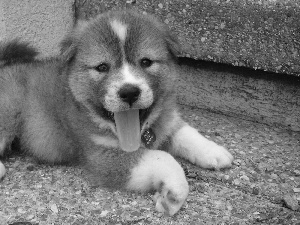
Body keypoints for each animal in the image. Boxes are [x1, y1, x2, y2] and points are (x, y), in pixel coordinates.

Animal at [0, 9, 233, 215]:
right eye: (102, 67)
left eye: (146, 62)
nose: (129, 92)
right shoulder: (103, 158)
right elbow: (163, 157)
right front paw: (174, 194)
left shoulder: (166, 120)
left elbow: (186, 133)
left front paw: (215, 152)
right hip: (9, 112)